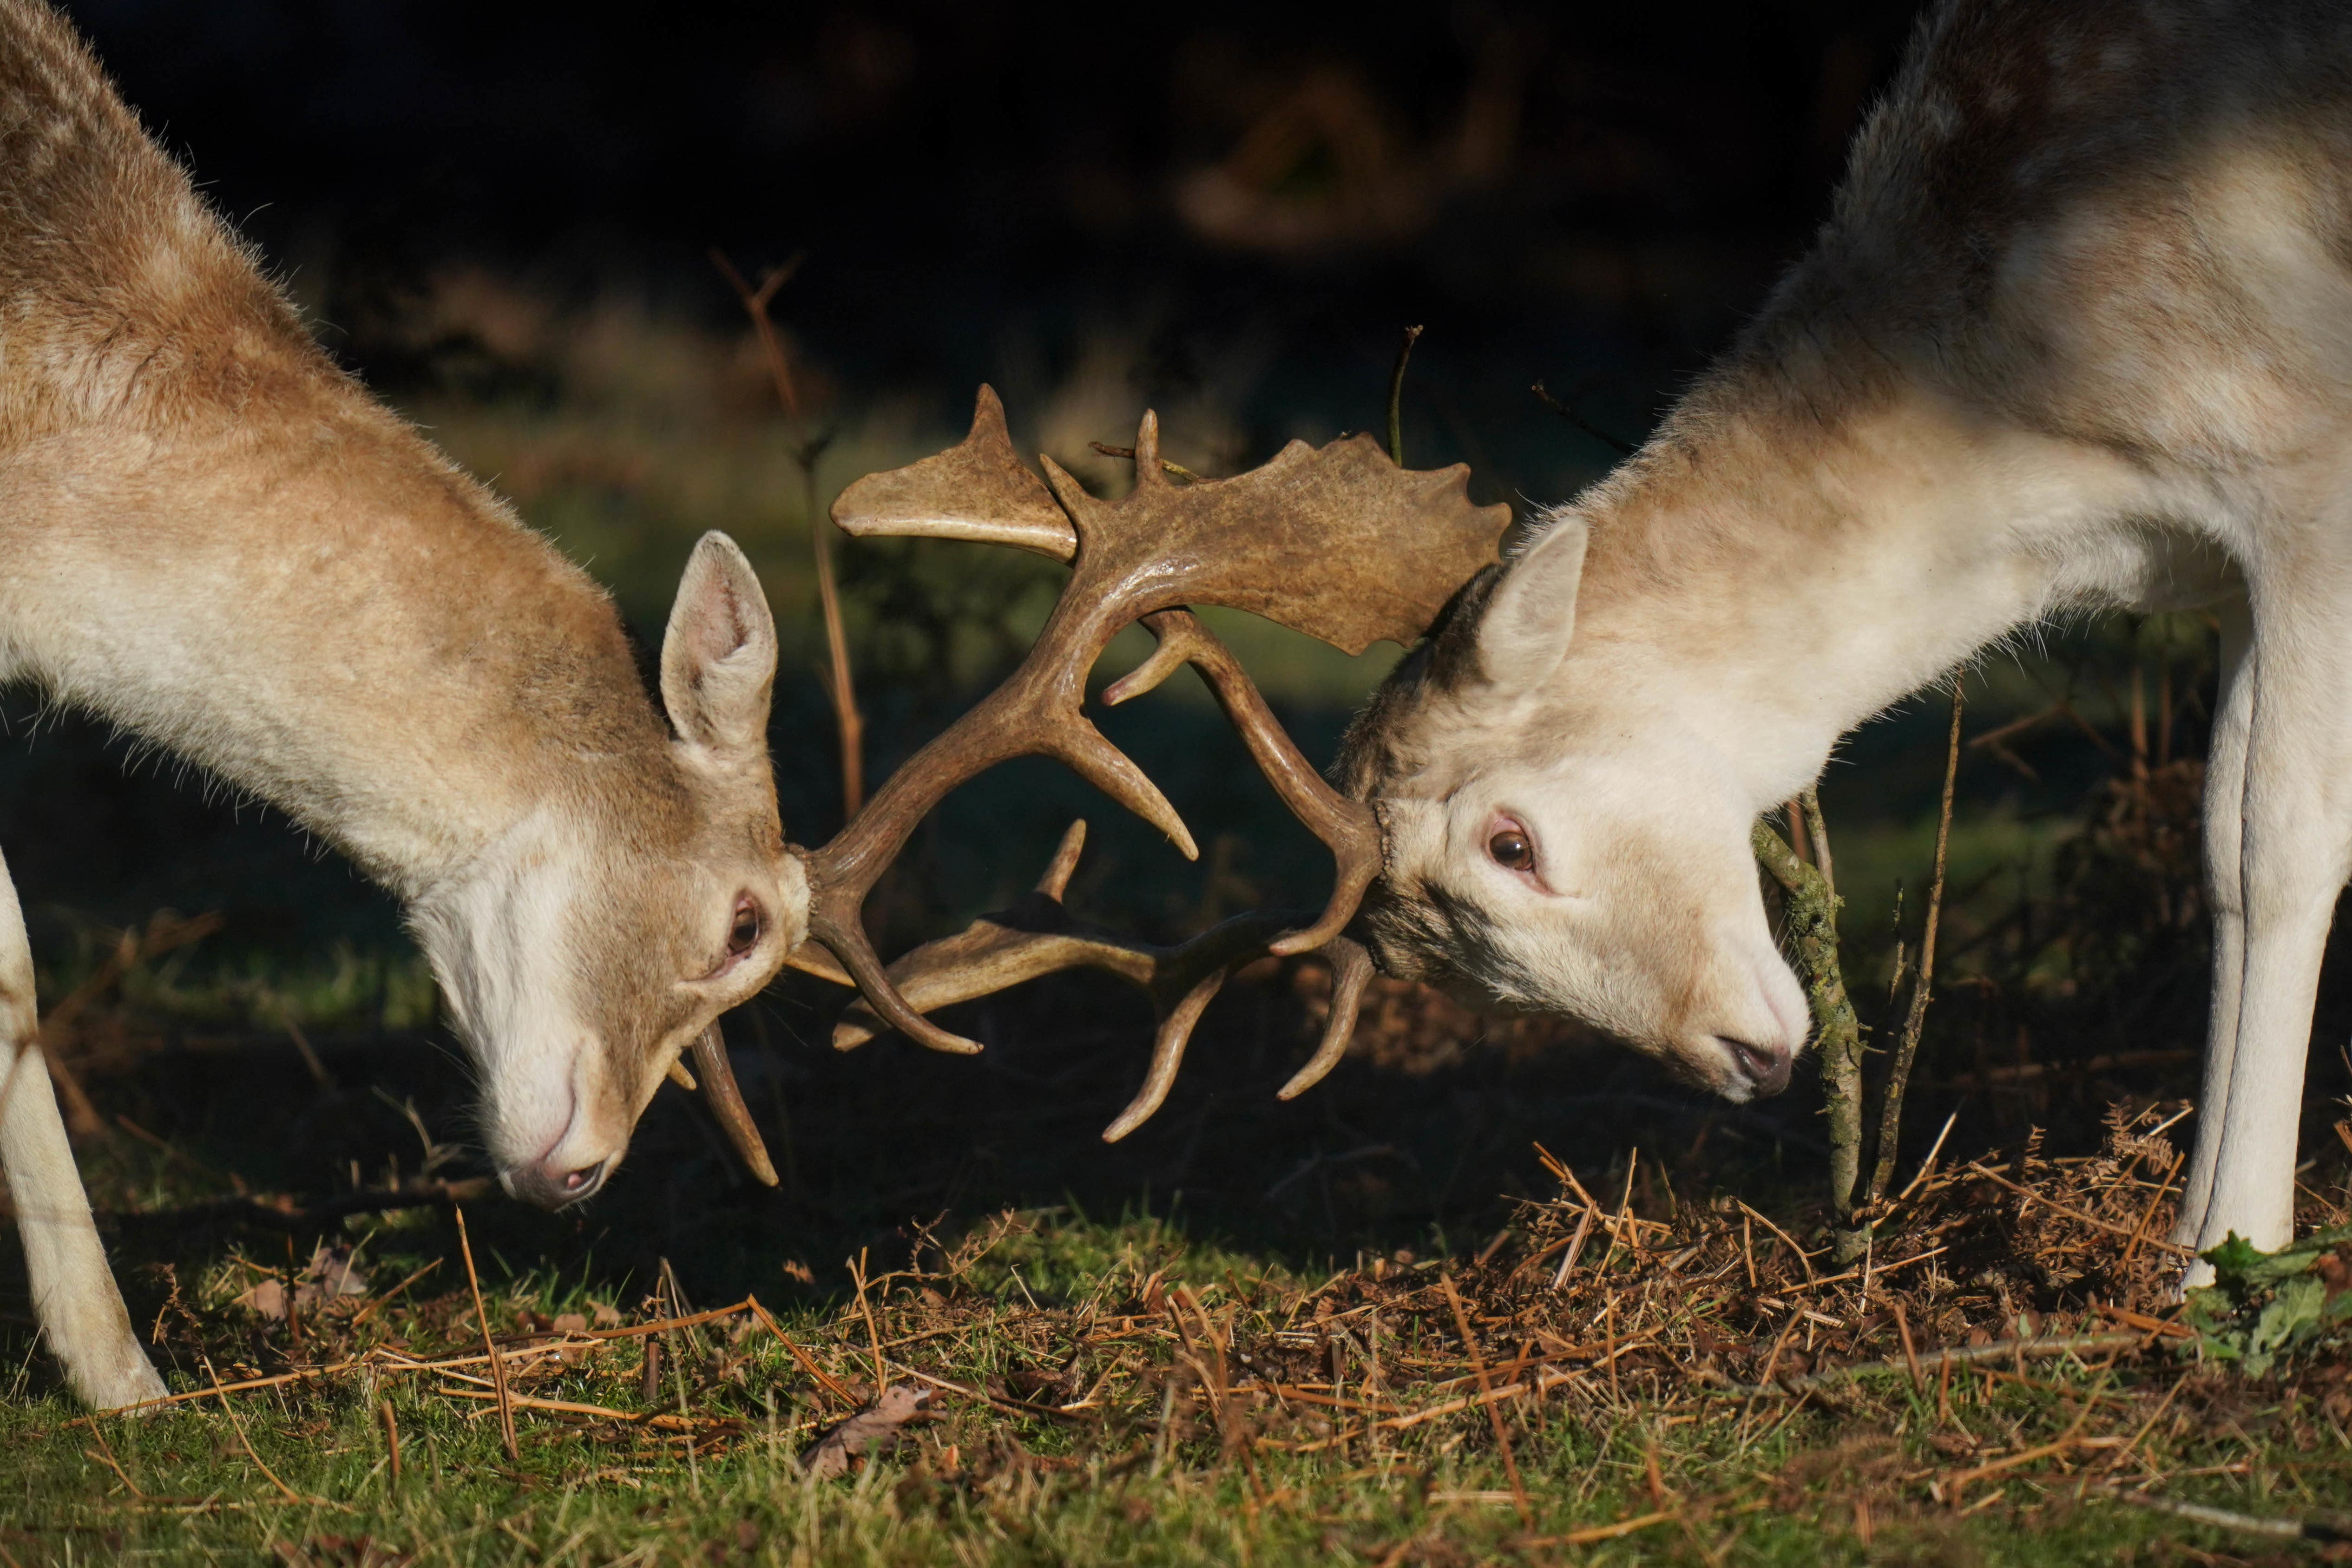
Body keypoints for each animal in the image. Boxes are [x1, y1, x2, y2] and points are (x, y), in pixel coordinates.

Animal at [1336, 0, 2342, 1279]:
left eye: (1509, 843)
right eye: (1473, 981)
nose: (1743, 1059)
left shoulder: (2308, 469)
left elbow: (2281, 848)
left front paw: (2225, 1250)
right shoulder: (2225, 578)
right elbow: (2213, 844)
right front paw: (2193, 1228)